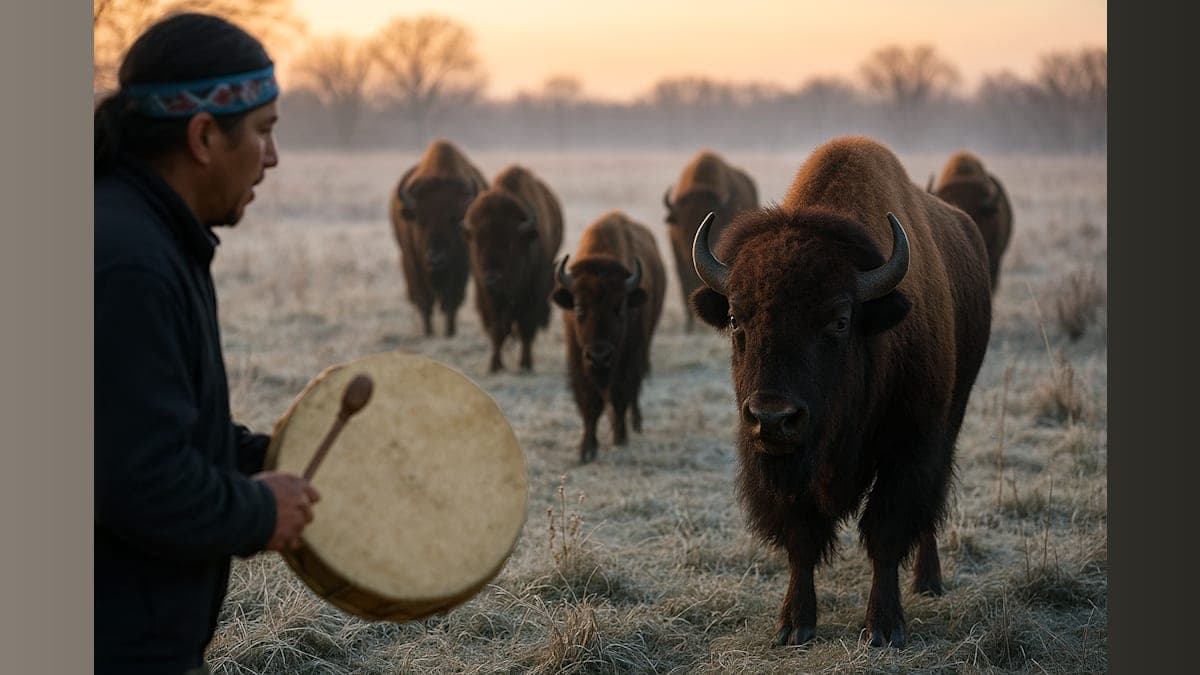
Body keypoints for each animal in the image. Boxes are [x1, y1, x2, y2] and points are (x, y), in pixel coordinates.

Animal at [390, 139, 488, 337]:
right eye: (420, 220)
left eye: (454, 220)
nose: (436, 259)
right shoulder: (414, 264)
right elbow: (425, 302)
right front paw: (428, 334)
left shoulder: (460, 268)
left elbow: (451, 303)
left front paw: (450, 333)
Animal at [464, 165, 564, 372]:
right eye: (476, 241)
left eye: (509, 243)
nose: (492, 278)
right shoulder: (486, 295)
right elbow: (496, 329)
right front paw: (495, 365)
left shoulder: (534, 292)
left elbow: (527, 326)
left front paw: (526, 364)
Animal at [552, 211, 666, 463]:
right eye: (579, 307)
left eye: (619, 308)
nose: (599, 356)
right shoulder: (578, 360)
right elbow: (589, 404)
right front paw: (587, 450)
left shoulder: (628, 359)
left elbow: (621, 395)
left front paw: (619, 439)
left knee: (632, 393)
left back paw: (634, 424)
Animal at [690, 136, 992, 648]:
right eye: (734, 318)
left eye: (840, 320)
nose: (773, 417)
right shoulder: (782, 468)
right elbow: (801, 538)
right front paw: (794, 624)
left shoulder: (910, 449)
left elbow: (887, 532)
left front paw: (884, 627)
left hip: (953, 416)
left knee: (929, 513)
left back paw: (928, 581)